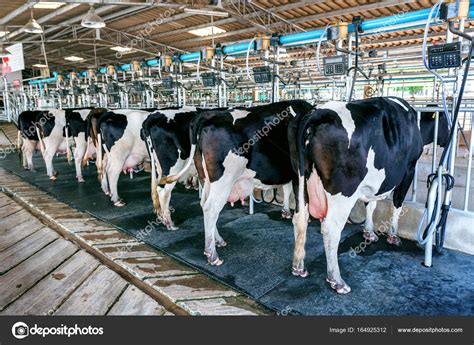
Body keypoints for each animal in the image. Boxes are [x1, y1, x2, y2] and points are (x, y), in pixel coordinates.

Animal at [168, 99, 314, 264]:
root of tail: (209, 115)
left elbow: (287, 189)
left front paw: (286, 211)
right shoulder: (301, 176)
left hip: (205, 179)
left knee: (204, 204)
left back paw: (218, 240)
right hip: (222, 181)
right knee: (211, 208)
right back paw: (212, 255)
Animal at [288, 97, 422, 292]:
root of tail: (317, 111)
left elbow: (371, 204)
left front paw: (369, 232)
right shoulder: (409, 169)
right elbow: (398, 202)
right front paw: (393, 235)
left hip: (298, 178)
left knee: (300, 218)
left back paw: (298, 266)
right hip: (344, 190)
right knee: (331, 229)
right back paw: (336, 280)